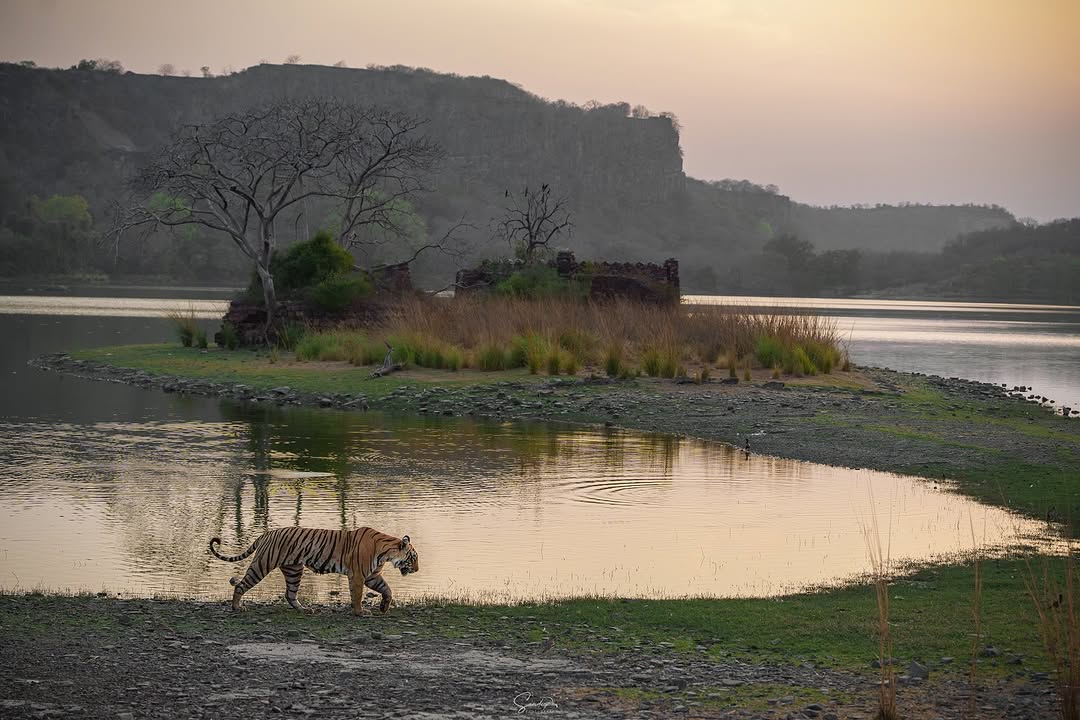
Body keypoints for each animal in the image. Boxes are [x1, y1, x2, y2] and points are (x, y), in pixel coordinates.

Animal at [208, 526, 418, 615]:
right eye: (414, 558)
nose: (417, 570)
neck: (385, 553)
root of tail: (266, 533)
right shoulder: (358, 576)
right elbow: (357, 595)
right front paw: (360, 612)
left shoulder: (372, 576)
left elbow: (387, 590)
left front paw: (384, 607)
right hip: (262, 564)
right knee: (240, 586)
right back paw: (237, 607)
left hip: (294, 570)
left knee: (290, 594)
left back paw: (305, 610)